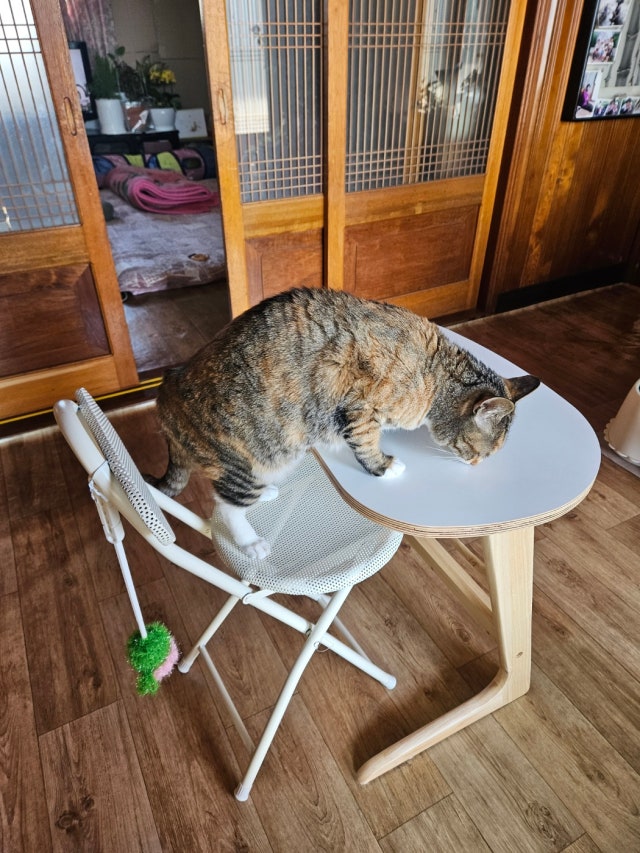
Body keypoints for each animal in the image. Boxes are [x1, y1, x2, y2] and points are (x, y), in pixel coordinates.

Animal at [151, 287, 539, 559]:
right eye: (478, 451)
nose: (475, 465)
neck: (435, 372)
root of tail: (164, 395)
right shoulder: (360, 407)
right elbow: (367, 443)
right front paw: (385, 466)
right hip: (244, 458)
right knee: (227, 506)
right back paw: (250, 543)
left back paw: (268, 492)